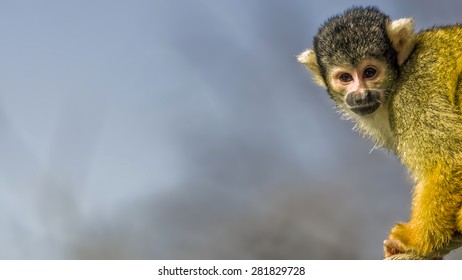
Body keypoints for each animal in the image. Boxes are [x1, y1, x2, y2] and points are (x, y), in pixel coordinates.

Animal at [300, 6, 462, 260]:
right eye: (345, 78)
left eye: (370, 72)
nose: (360, 95)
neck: (398, 76)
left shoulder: (411, 94)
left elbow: (448, 158)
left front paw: (416, 240)